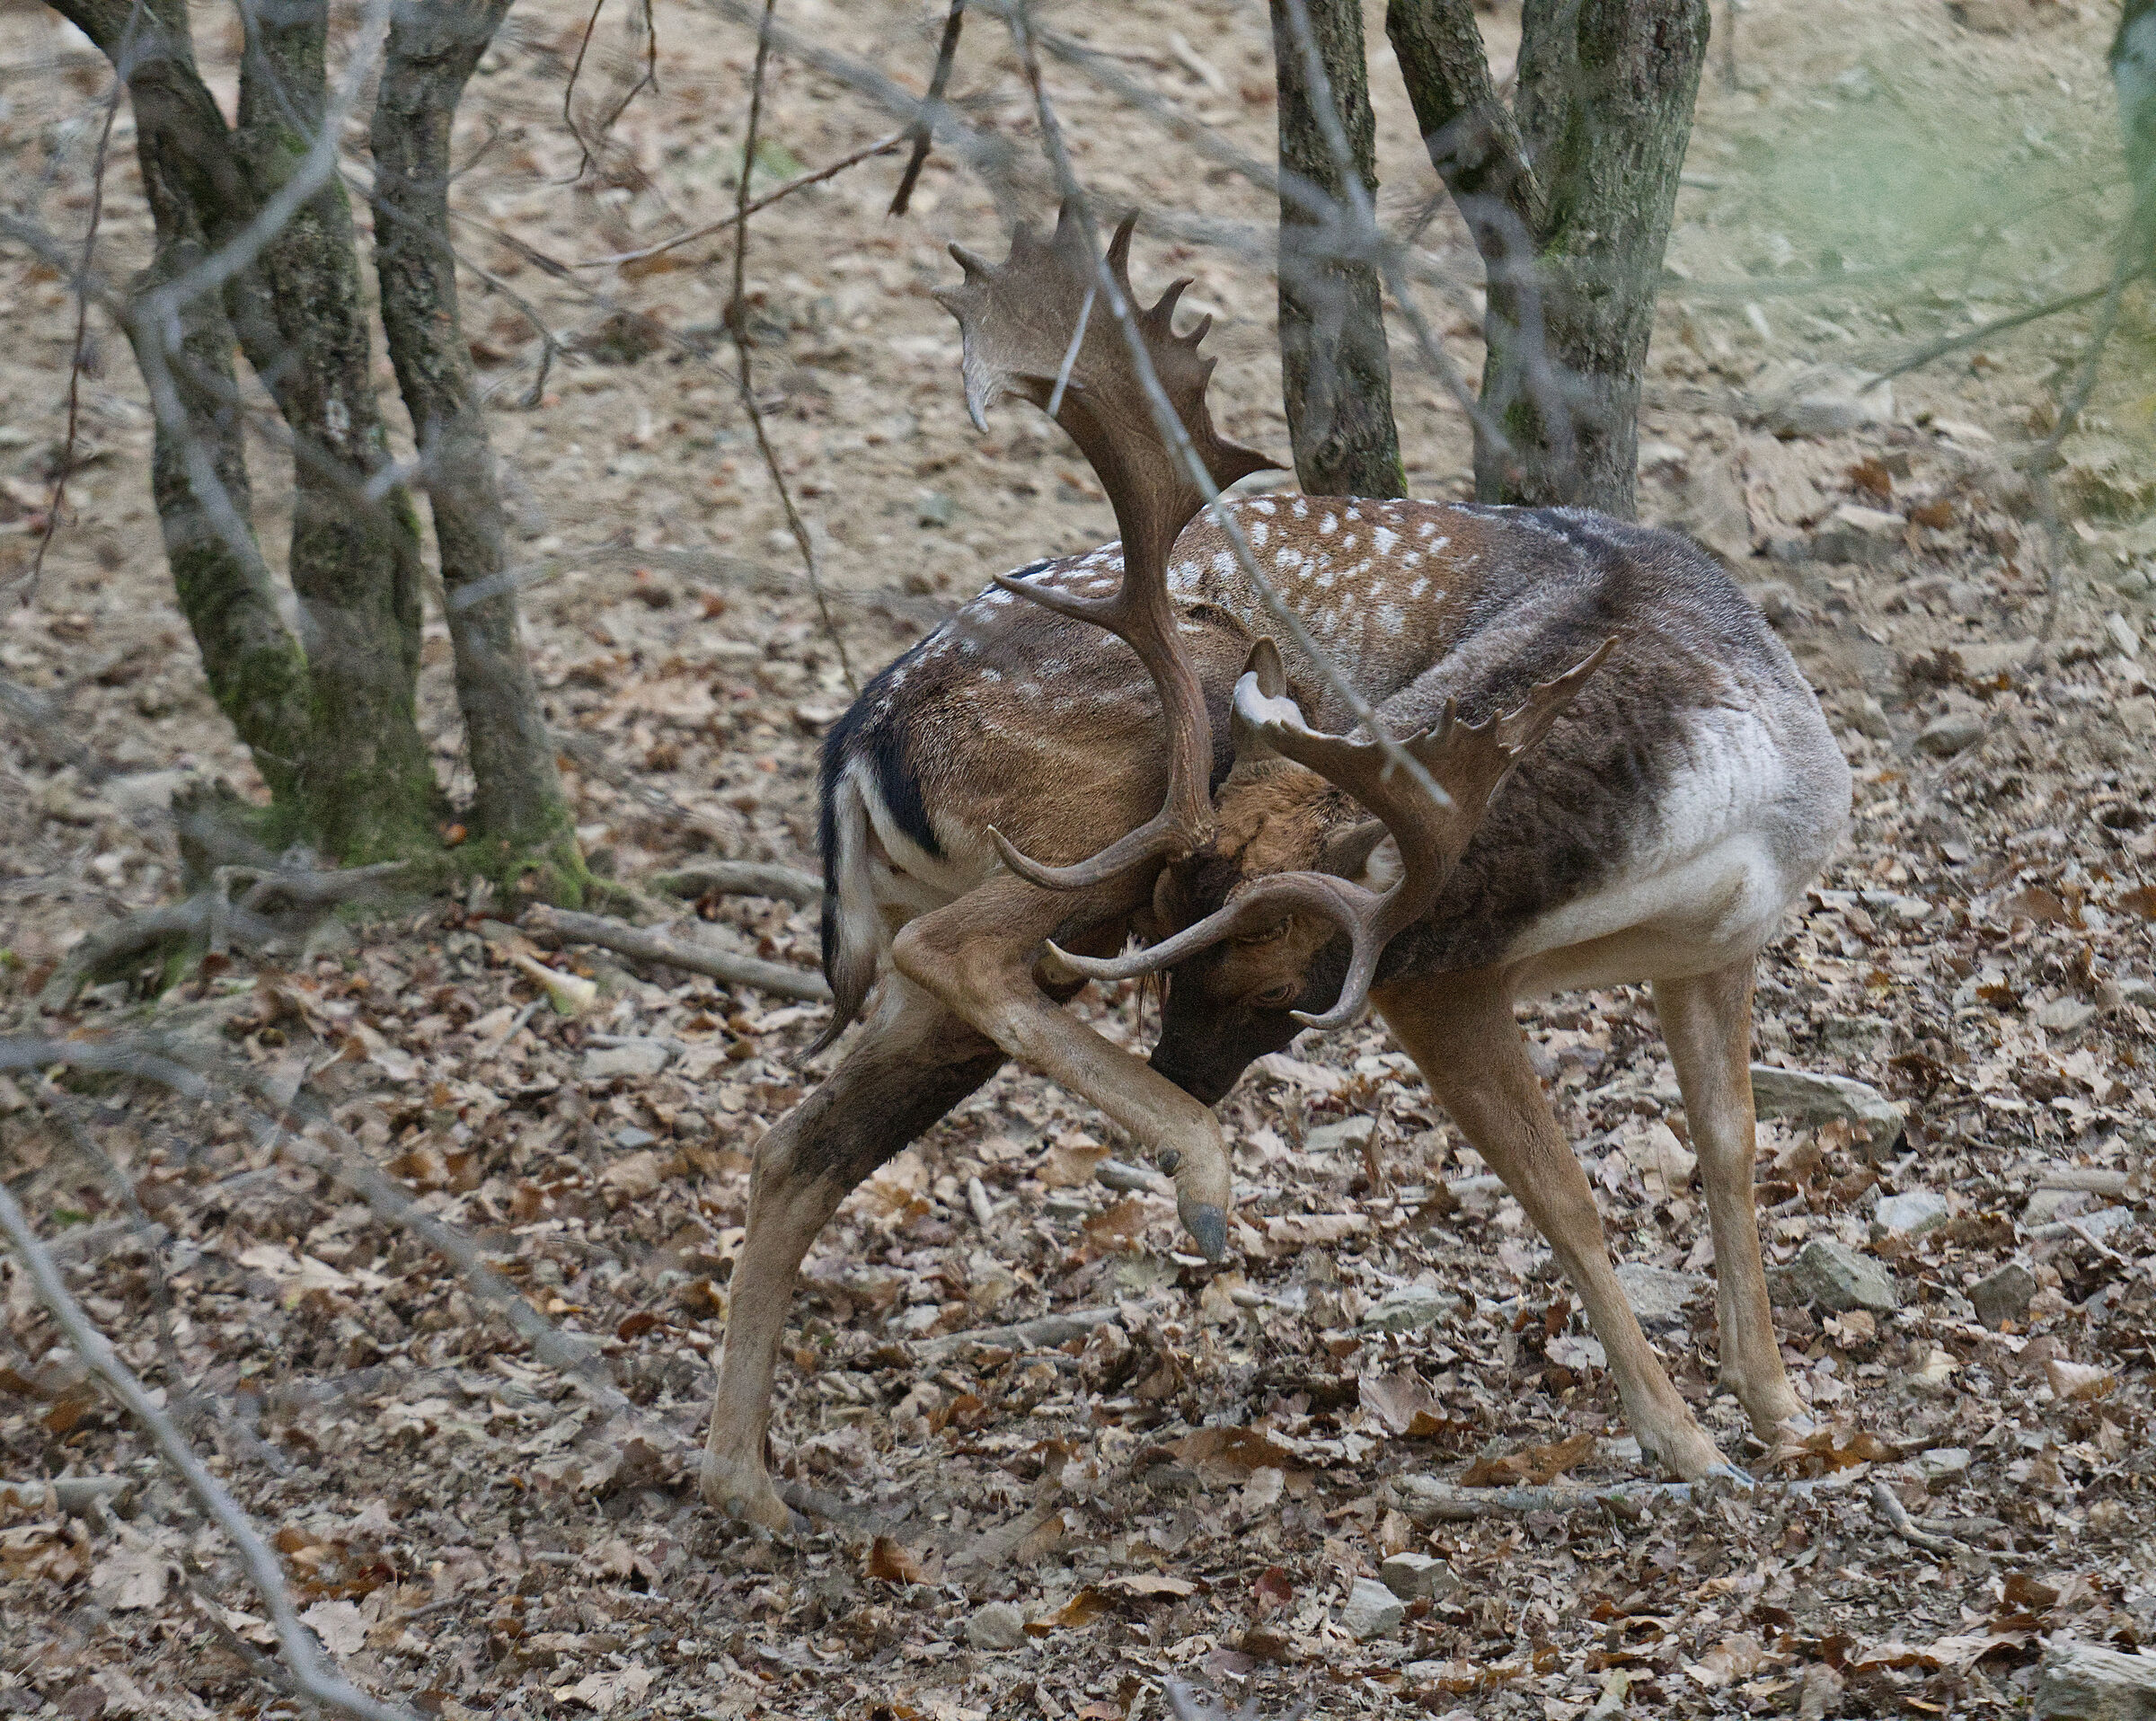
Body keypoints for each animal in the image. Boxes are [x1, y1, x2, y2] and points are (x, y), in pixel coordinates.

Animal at [699, 205, 1853, 1534]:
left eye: (1276, 992)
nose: (1181, 1068)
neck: (1692, 817)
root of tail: (856, 739)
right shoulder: (1436, 973)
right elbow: (1562, 1192)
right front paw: (1684, 1441)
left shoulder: (1726, 939)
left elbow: (1731, 1148)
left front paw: (1785, 1411)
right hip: (1109, 805)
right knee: (952, 951)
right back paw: (1200, 1177)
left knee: (799, 1140)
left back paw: (747, 1484)